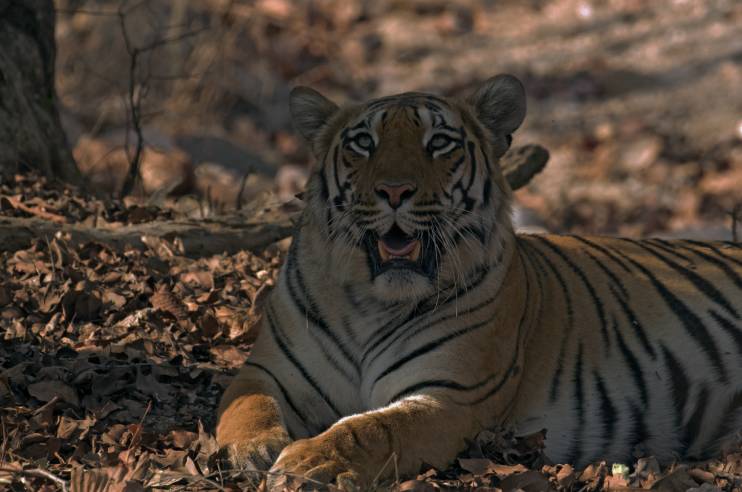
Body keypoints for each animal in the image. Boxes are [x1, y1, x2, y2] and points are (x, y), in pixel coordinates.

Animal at [218, 74, 742, 492]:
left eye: (439, 142)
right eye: (363, 142)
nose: (394, 190)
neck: (371, 301)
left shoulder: (449, 397)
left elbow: (368, 430)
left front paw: (309, 461)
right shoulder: (270, 369)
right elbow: (243, 405)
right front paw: (248, 450)